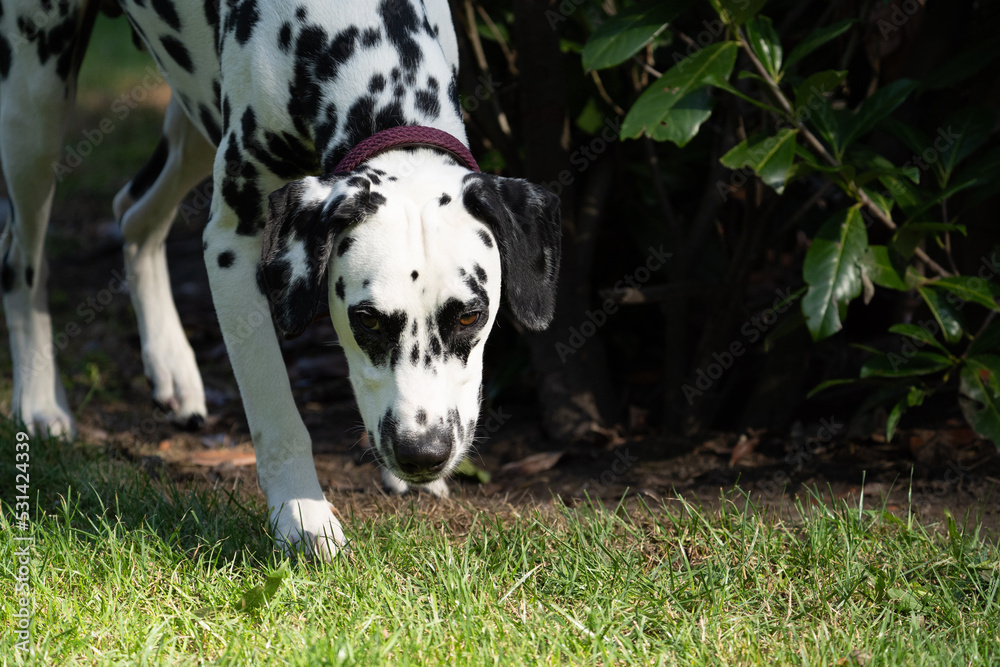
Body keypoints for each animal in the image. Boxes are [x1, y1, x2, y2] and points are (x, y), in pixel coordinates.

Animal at [0, 0, 564, 560]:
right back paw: (40, 401)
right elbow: (276, 412)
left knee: (134, 213)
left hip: (191, 110)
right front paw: (301, 514)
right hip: (34, 107)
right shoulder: (232, 244)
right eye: (366, 320)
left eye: (471, 315)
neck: (344, 31)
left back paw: (171, 364)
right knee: (22, 256)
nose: (421, 453)